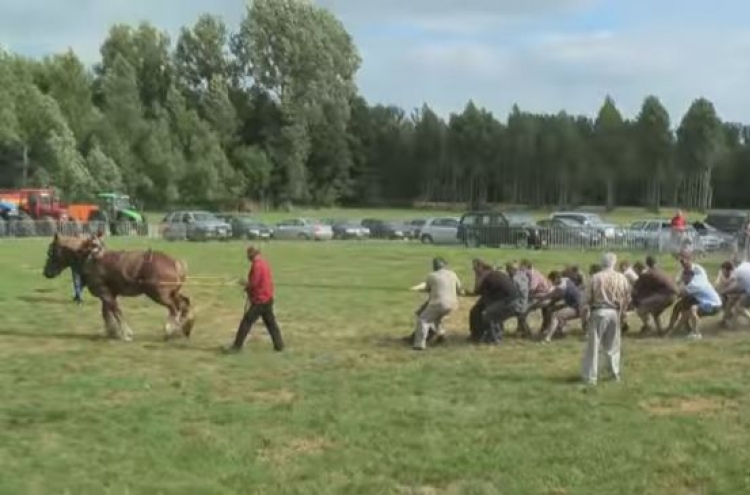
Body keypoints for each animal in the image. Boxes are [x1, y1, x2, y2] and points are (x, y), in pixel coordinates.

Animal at [43, 234, 197, 342]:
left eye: (51, 252)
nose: (46, 273)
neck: (89, 258)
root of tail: (176, 263)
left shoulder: (104, 293)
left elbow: (116, 311)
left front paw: (125, 334)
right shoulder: (108, 294)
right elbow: (106, 313)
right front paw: (112, 332)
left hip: (158, 294)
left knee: (174, 308)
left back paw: (169, 330)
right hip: (172, 292)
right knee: (185, 303)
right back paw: (185, 328)